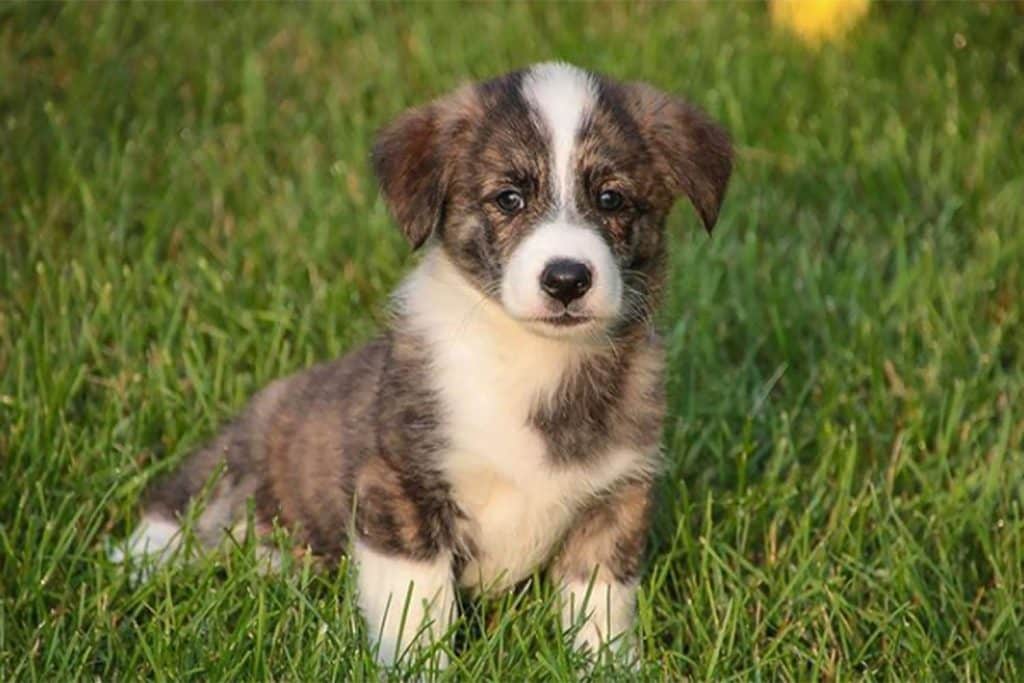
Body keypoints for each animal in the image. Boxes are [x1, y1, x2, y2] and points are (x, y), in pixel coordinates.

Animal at [116, 62, 733, 667]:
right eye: (509, 198)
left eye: (611, 200)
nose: (566, 279)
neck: (534, 358)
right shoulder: (402, 488)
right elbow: (417, 610)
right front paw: (418, 664)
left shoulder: (614, 503)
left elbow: (601, 611)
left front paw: (605, 666)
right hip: (230, 466)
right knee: (177, 510)